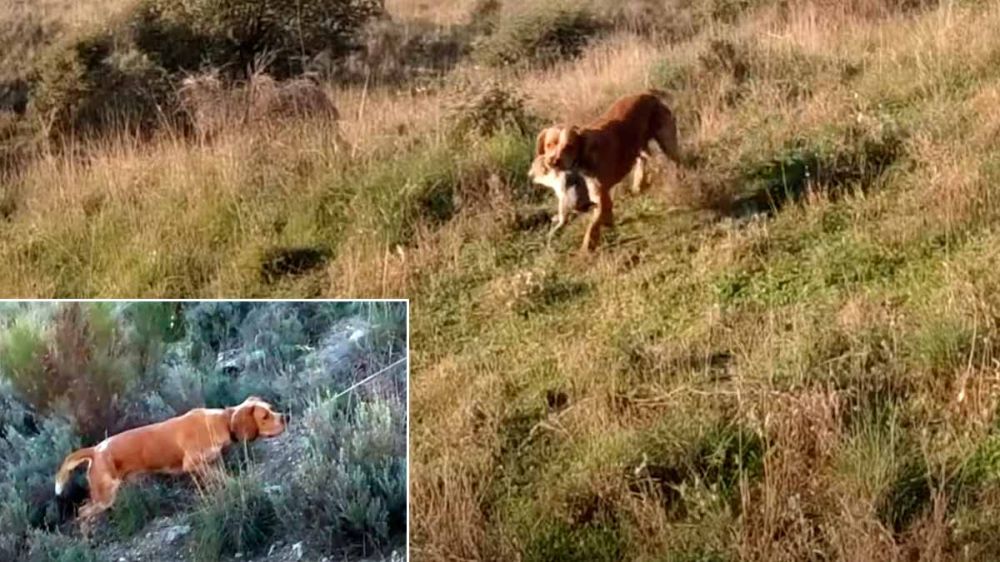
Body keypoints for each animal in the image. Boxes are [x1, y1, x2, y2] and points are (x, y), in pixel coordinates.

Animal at [53, 394, 286, 528]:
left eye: (271, 408)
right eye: (265, 416)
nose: (286, 417)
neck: (221, 422)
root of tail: (96, 449)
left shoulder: (211, 463)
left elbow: (219, 480)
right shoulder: (193, 464)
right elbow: (222, 479)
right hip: (105, 496)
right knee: (82, 512)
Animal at [532, 89, 680, 249]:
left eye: (569, 146)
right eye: (548, 145)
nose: (553, 161)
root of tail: (647, 94)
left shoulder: (600, 197)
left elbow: (592, 226)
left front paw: (587, 246)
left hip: (667, 143)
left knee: (676, 161)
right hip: (639, 147)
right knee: (643, 159)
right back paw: (639, 183)